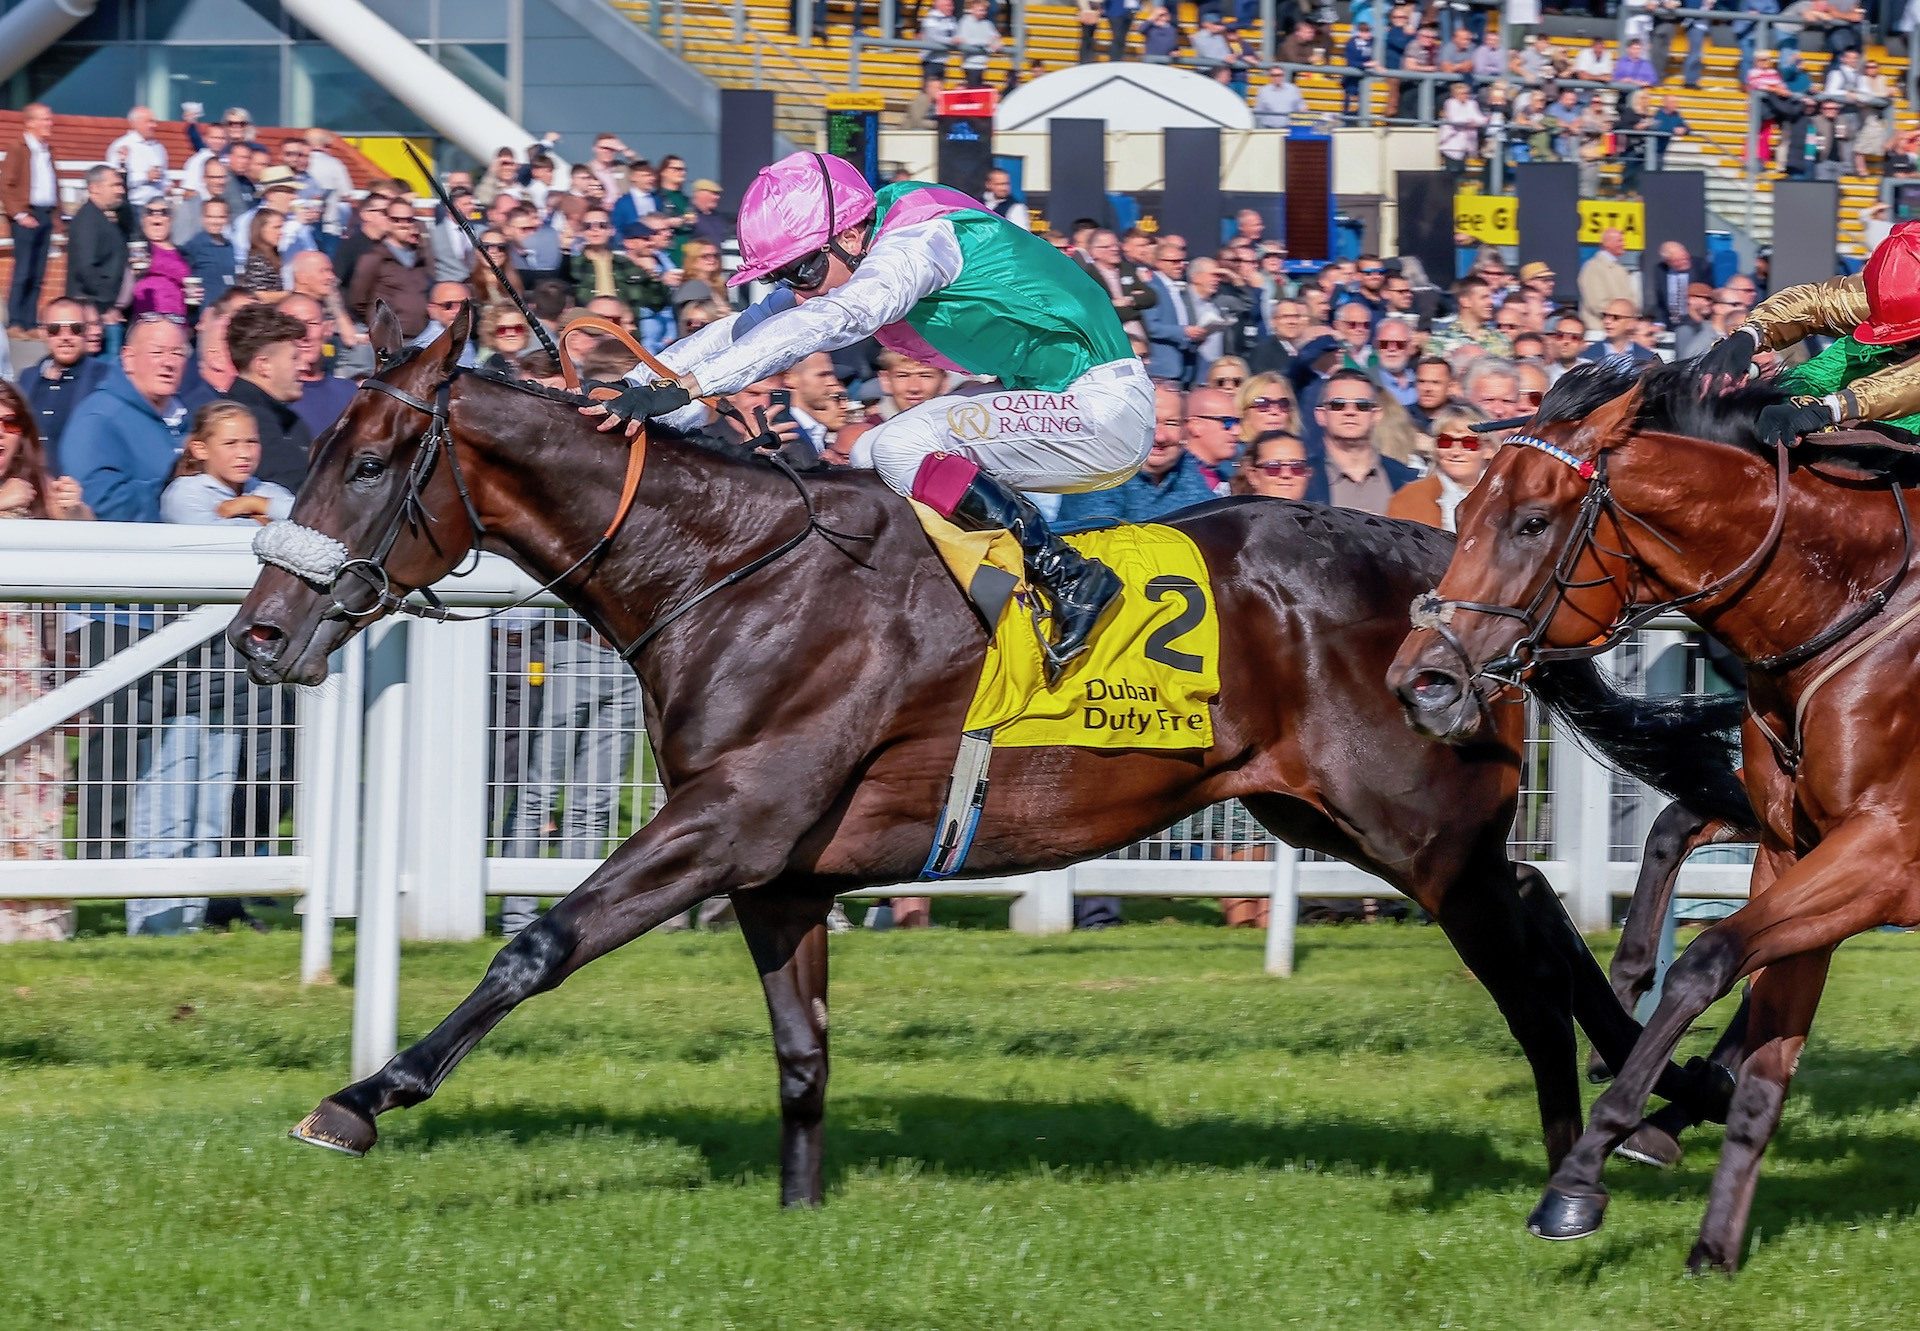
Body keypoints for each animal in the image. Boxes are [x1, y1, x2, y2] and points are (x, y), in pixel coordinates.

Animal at [224, 309, 1743, 1206]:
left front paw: (362, 1097)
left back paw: (1601, 1131)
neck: (729, 569)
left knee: (1527, 964)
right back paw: (1672, 1098)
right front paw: (799, 1213)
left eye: (371, 460)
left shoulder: (728, 817)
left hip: (1419, 825)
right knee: (1543, 912)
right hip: (1337, 817)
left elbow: (537, 943)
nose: (260, 632)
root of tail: (1448, 556)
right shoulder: (781, 868)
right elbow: (801, 1053)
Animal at [1397, 359, 1920, 1275]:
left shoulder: (1885, 855)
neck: (1844, 601)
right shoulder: (1798, 848)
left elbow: (1706, 960)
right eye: (1460, 515)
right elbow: (1763, 1055)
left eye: (1532, 521)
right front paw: (1714, 1239)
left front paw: (1582, 1173)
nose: (1422, 680)